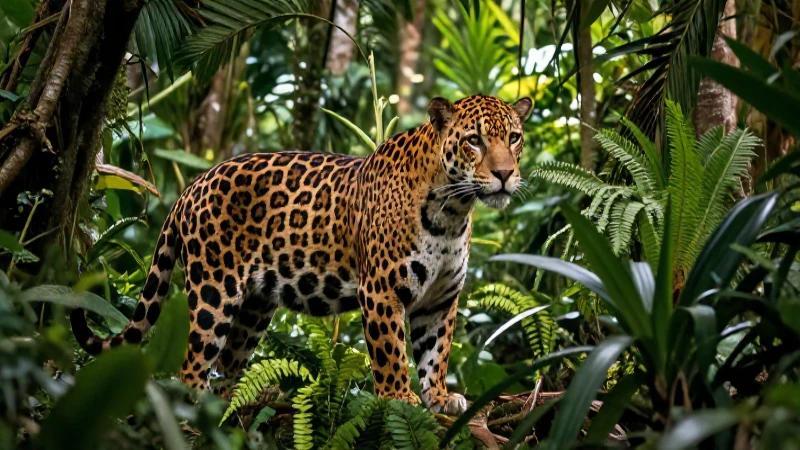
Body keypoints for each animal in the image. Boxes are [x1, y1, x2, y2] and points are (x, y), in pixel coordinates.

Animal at [71, 94, 532, 415]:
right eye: (474, 142)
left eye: (513, 138)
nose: (505, 174)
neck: (453, 211)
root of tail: (191, 187)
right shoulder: (381, 291)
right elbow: (390, 353)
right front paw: (401, 397)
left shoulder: (440, 299)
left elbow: (436, 353)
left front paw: (438, 396)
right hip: (213, 293)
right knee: (192, 366)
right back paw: (196, 407)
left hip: (254, 308)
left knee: (229, 366)